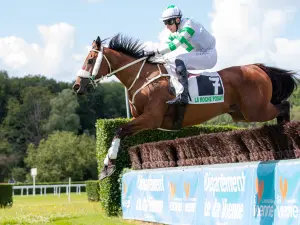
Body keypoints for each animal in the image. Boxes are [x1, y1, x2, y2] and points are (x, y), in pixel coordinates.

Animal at [72, 33, 300, 181]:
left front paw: (108, 166)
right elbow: (120, 131)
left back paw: (288, 140)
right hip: (241, 113)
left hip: (255, 110)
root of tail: (257, 67)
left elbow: (119, 129)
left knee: (284, 106)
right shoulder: (141, 119)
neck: (144, 77)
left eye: (90, 60)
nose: (77, 86)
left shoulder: (151, 118)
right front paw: (106, 167)